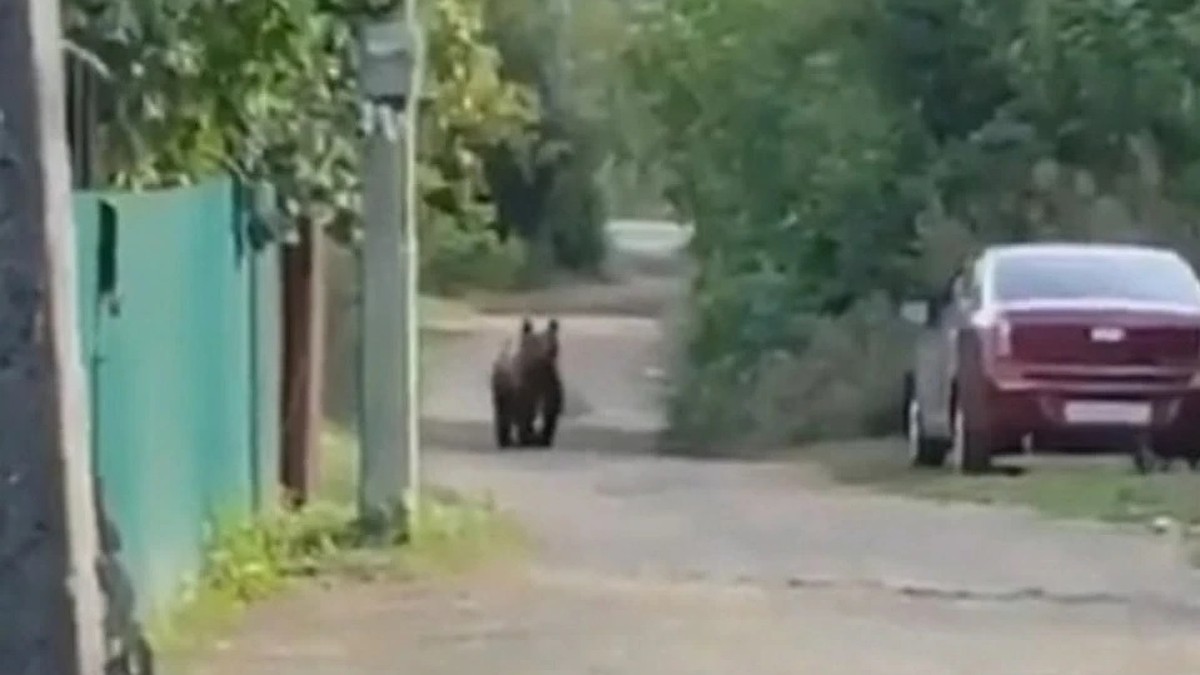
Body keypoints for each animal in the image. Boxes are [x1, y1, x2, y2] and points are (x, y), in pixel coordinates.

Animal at [487, 314, 561, 446]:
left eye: (551, 340)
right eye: (535, 342)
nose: (549, 350)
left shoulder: (549, 383)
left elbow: (550, 409)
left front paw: (544, 437)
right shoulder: (522, 387)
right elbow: (523, 413)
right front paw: (529, 437)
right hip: (501, 387)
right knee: (503, 414)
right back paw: (507, 439)